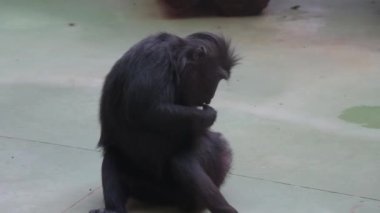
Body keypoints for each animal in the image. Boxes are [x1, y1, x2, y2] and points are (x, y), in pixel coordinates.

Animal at [89, 32, 239, 213]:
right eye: (218, 77)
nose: (210, 96)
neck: (176, 61)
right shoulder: (156, 60)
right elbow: (149, 109)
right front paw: (209, 115)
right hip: (146, 187)